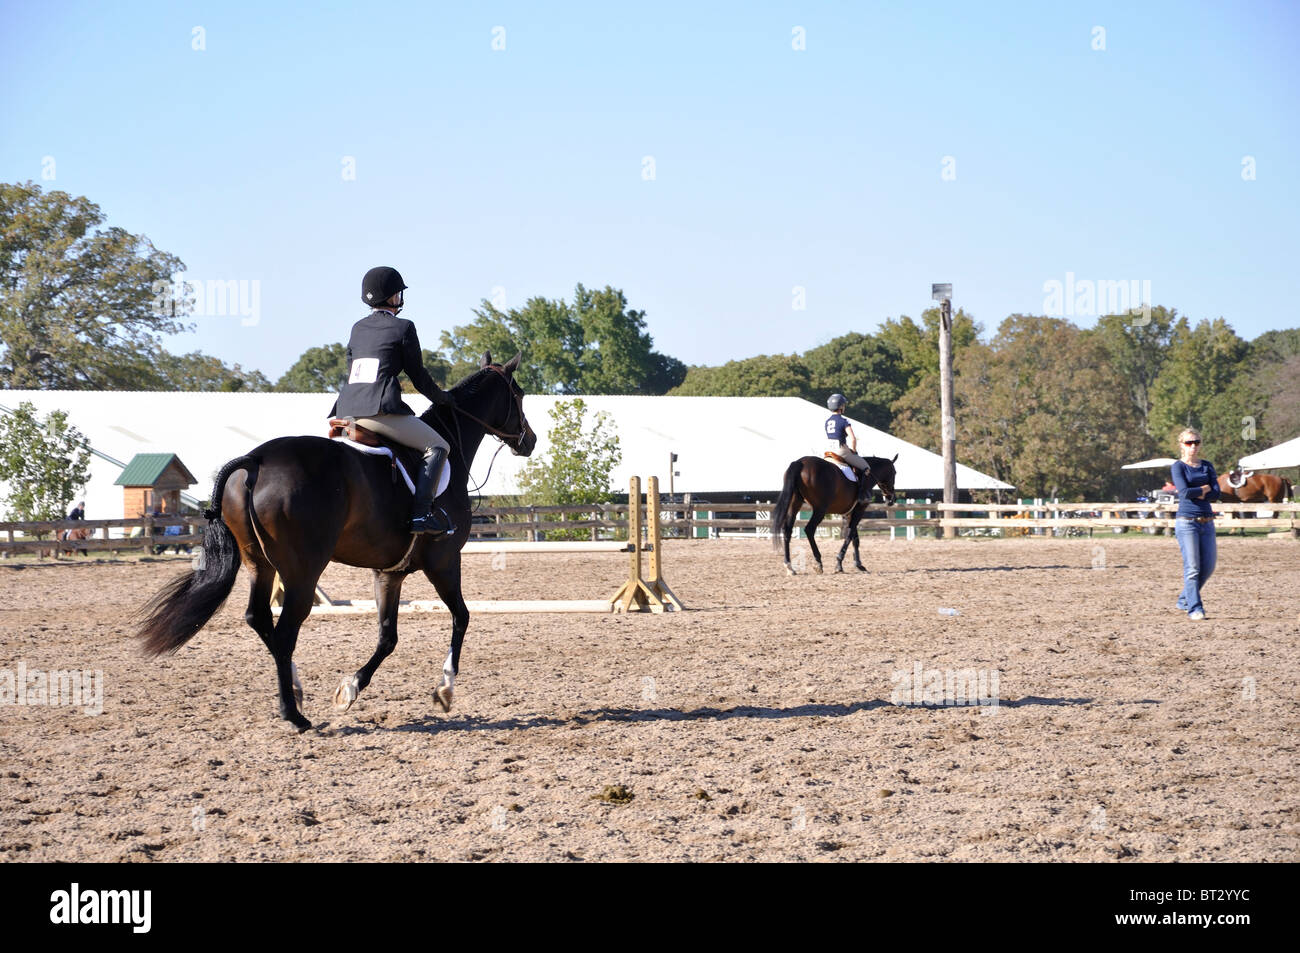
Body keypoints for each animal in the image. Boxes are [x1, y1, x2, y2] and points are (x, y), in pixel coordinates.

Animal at [135, 348, 533, 728]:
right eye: (519, 394)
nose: (529, 440)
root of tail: (255, 459)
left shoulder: (389, 573)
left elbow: (388, 637)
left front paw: (350, 690)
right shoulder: (445, 561)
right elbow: (461, 617)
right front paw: (444, 689)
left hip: (259, 564)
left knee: (259, 619)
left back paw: (296, 692)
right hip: (303, 571)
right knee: (284, 632)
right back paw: (294, 715)